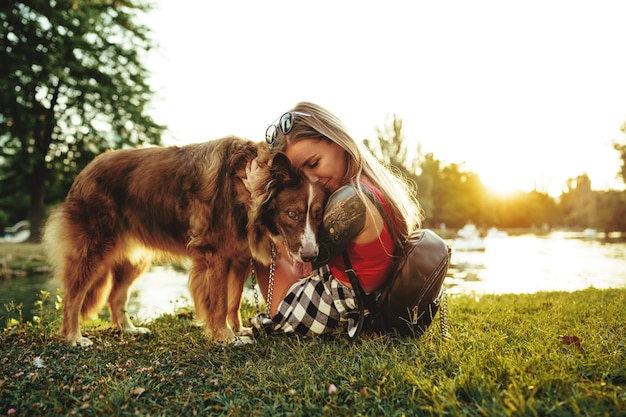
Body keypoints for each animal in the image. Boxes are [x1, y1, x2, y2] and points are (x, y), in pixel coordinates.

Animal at [42, 136, 326, 344]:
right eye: (292, 214)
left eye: (317, 214)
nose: (311, 256)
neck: (246, 184)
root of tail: (86, 170)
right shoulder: (214, 256)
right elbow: (219, 302)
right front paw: (225, 337)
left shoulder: (239, 258)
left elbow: (233, 300)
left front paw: (237, 329)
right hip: (95, 247)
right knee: (73, 296)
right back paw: (74, 337)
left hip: (134, 259)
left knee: (116, 296)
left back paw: (128, 329)